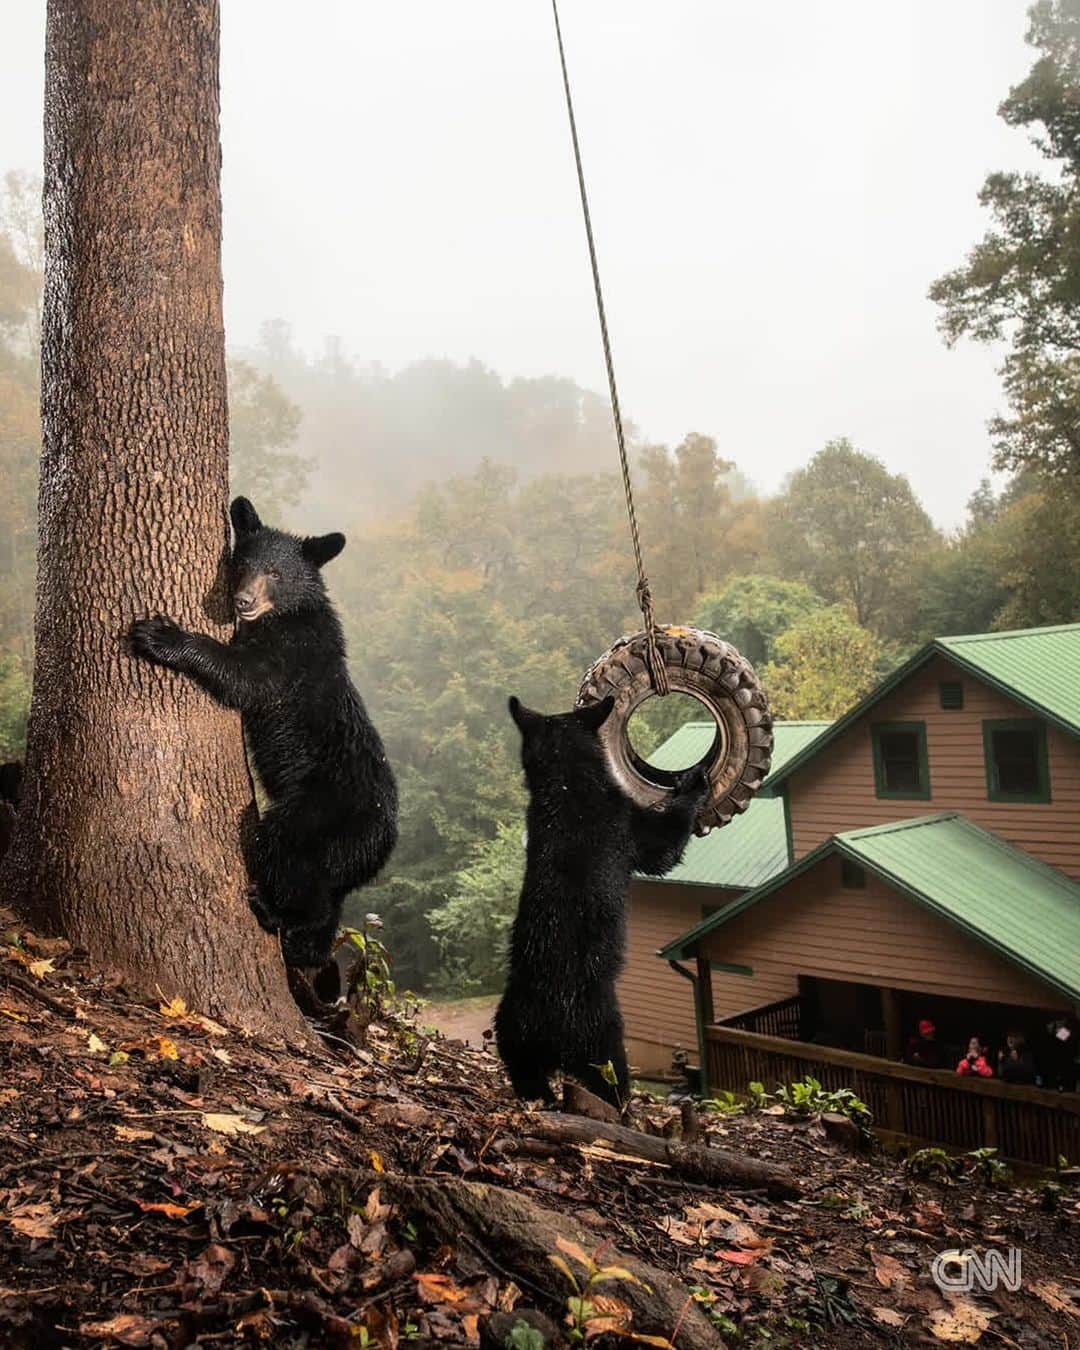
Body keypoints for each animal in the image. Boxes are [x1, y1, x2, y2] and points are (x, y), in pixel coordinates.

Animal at [130, 496, 399, 972]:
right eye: (241, 563)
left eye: (275, 573)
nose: (243, 600)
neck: (285, 614)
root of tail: (384, 841)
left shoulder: (291, 654)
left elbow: (243, 677)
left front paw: (161, 634)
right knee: (329, 896)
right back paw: (308, 948)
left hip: (322, 815)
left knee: (287, 855)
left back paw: (274, 913)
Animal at [496, 691, 707, 1112]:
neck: (566, 783)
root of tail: (547, 1030)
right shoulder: (624, 821)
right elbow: (662, 847)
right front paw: (693, 783)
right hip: (603, 1036)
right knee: (613, 1082)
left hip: (510, 1033)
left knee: (526, 1076)